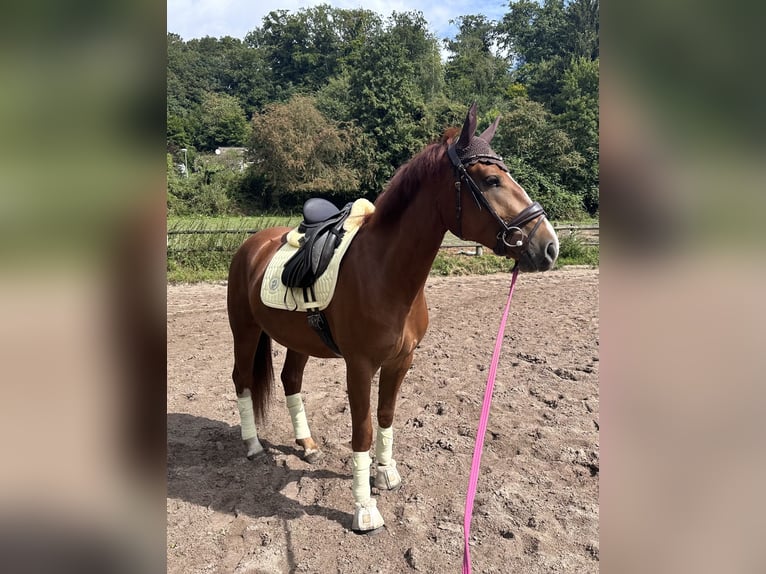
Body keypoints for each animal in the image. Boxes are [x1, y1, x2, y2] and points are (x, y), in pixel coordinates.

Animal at [226, 103, 560, 536]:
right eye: (490, 180)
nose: (549, 246)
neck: (384, 271)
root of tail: (252, 244)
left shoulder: (401, 361)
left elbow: (385, 416)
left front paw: (385, 474)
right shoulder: (359, 366)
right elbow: (363, 431)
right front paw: (364, 509)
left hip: (299, 340)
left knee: (290, 380)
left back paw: (308, 446)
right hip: (245, 330)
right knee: (242, 380)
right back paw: (252, 445)